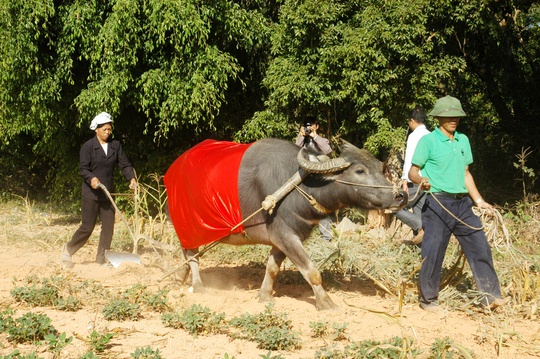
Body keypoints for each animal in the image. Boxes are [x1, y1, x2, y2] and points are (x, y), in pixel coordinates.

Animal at [163, 138, 404, 310]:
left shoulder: (281, 240)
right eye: (359, 171)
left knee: (188, 254)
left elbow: (272, 268)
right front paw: (326, 303)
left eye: (379, 167)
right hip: (187, 227)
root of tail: (171, 171)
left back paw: (180, 277)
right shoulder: (286, 236)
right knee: (191, 255)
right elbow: (311, 270)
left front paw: (265, 296)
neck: (301, 186)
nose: (400, 195)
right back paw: (198, 286)